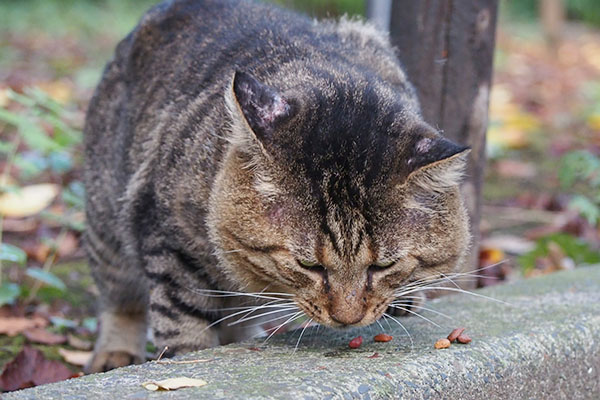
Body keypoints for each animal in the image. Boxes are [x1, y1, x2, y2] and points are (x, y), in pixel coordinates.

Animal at [82, 0, 472, 374]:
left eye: (383, 266)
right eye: (308, 265)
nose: (347, 319)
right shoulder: (168, 238)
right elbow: (182, 321)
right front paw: (191, 361)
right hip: (106, 222)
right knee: (120, 297)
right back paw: (115, 352)